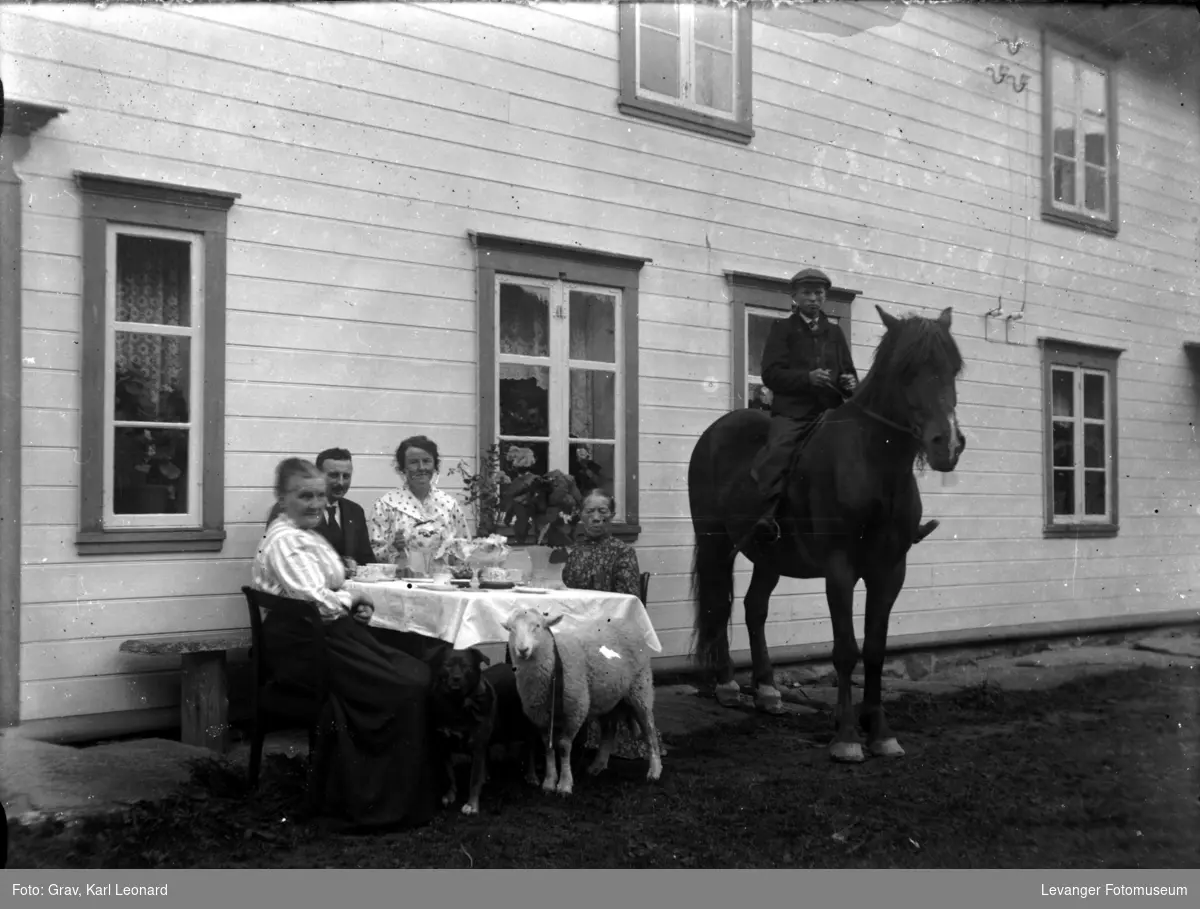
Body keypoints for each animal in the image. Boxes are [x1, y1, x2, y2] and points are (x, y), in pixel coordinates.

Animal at [432, 647, 540, 820]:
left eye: (467, 667)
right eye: (447, 665)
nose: (456, 678)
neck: (458, 707)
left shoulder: (477, 745)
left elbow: (474, 779)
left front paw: (471, 805)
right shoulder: (444, 744)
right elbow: (449, 775)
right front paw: (450, 794)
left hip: (525, 723)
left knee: (530, 748)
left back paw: (531, 775)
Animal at [501, 611, 662, 796]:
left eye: (537, 626)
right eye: (511, 629)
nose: (522, 650)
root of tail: (623, 621)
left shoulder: (575, 710)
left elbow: (564, 746)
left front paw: (564, 785)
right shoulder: (540, 716)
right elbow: (548, 747)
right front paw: (549, 782)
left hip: (640, 687)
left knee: (649, 729)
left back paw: (654, 771)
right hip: (607, 696)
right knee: (609, 731)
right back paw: (597, 766)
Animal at [691, 305, 960, 762]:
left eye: (953, 368)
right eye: (907, 371)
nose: (948, 445)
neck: (876, 464)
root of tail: (713, 432)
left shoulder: (890, 571)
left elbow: (875, 649)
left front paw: (880, 731)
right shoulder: (840, 569)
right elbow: (846, 650)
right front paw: (848, 736)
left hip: (769, 555)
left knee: (754, 608)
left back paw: (767, 690)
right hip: (715, 543)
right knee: (718, 606)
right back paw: (727, 684)